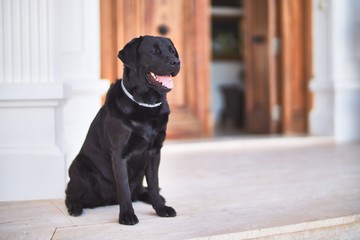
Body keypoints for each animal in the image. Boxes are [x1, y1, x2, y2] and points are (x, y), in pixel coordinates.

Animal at [65, 35, 180, 225]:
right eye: (154, 51)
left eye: (172, 51)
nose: (176, 62)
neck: (145, 106)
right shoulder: (119, 153)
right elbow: (124, 188)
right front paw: (127, 215)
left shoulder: (155, 152)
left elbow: (154, 184)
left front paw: (160, 208)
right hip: (79, 167)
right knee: (70, 194)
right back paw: (75, 207)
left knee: (141, 190)